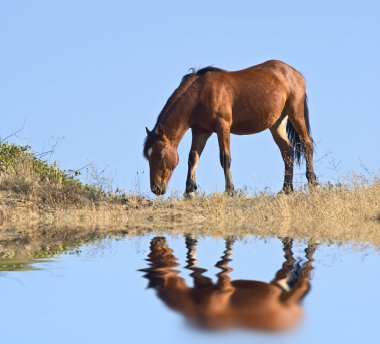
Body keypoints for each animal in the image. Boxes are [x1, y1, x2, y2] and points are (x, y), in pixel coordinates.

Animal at [140, 236, 314, 330]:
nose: (155, 244)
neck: (194, 304)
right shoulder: (202, 281)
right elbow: (192, 264)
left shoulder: (224, 287)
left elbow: (222, 264)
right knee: (292, 263)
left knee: (306, 267)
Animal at [144, 59, 316, 196]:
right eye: (147, 156)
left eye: (159, 154)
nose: (156, 188)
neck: (200, 93)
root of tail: (295, 73)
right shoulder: (200, 131)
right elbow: (193, 158)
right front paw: (190, 191)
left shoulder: (223, 126)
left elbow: (225, 157)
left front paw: (230, 190)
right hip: (277, 123)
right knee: (287, 151)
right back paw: (286, 189)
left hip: (296, 113)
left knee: (306, 144)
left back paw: (313, 183)